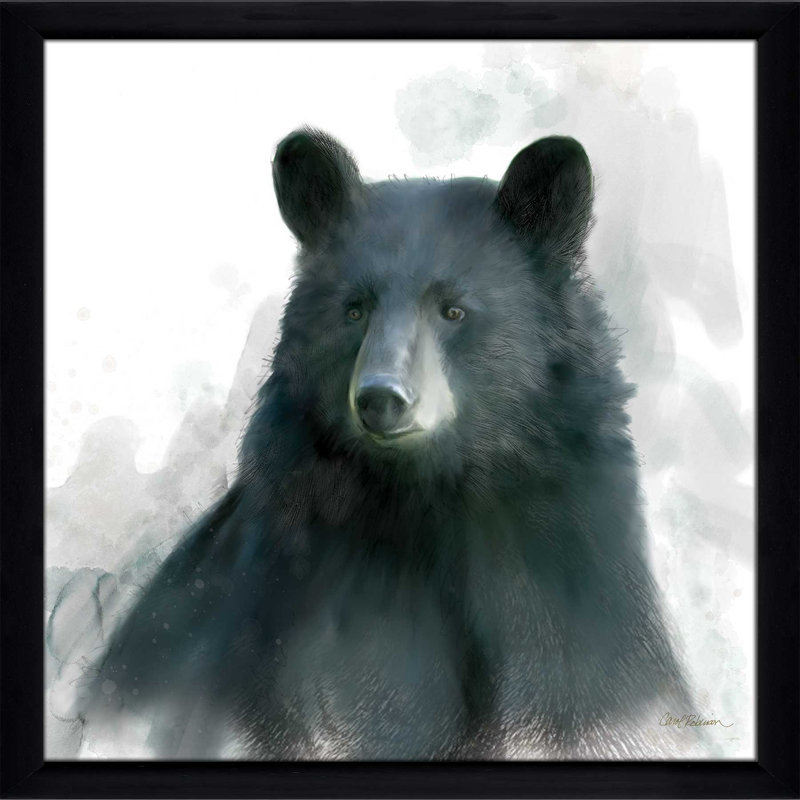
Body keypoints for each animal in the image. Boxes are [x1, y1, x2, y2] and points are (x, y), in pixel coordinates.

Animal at [72, 128, 691, 760]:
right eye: (354, 309)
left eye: (453, 309)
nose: (380, 398)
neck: (433, 501)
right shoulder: (308, 608)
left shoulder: (571, 581)